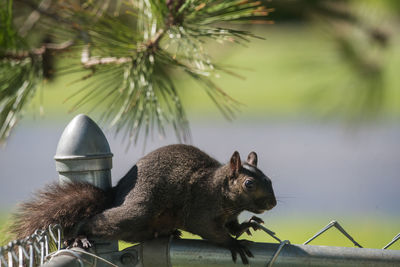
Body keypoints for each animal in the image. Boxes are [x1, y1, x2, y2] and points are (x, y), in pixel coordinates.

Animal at [11, 144, 276, 264]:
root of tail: (118, 193)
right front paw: (233, 243)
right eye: (249, 184)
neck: (219, 188)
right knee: (98, 220)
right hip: (137, 211)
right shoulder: (201, 208)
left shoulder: (228, 215)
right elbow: (210, 230)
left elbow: (233, 226)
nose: (272, 203)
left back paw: (169, 232)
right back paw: (78, 235)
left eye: (269, 179)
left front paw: (248, 224)